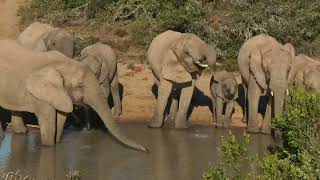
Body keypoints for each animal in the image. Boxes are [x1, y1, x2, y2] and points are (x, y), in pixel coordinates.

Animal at [0, 39, 146, 152]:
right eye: (79, 86)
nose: (146, 149)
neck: (60, 64)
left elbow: (60, 118)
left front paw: (56, 144)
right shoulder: (40, 93)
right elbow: (49, 120)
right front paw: (48, 148)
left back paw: (21, 132)